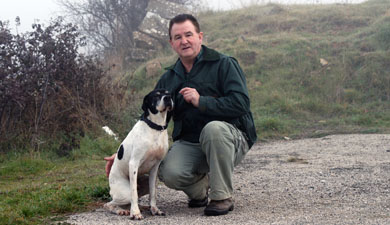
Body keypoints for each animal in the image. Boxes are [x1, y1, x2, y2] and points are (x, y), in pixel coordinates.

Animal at [103, 88, 173, 220]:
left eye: (168, 93)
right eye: (156, 96)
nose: (168, 98)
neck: (155, 128)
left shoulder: (155, 167)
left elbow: (153, 193)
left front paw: (154, 209)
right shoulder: (134, 163)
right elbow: (134, 194)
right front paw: (135, 213)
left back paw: (142, 207)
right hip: (124, 192)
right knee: (109, 204)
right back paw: (121, 210)